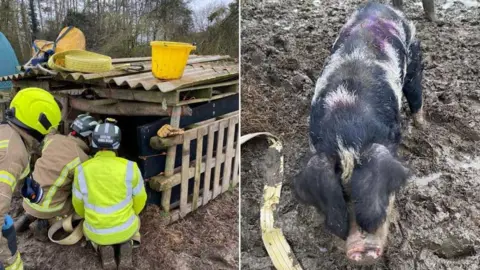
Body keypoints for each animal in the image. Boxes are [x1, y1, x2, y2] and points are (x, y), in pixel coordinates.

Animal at [292, 1, 424, 264]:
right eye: (342, 196)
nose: (361, 251)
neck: (347, 134)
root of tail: (384, 6)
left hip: (414, 59)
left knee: (417, 97)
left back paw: (422, 126)